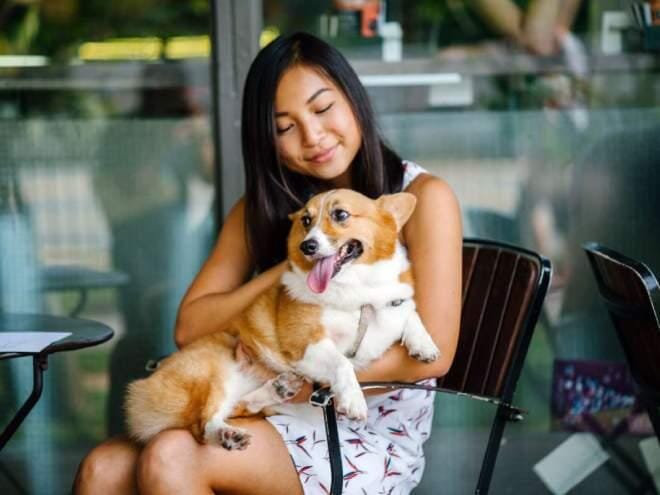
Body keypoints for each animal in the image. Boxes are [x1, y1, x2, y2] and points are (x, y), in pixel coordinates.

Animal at [126, 189, 440, 450]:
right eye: (306, 220)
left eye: (340, 215)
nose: (307, 246)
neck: (358, 292)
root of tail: (145, 386)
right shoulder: (307, 343)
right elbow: (342, 362)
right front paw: (353, 400)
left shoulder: (392, 304)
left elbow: (410, 313)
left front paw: (424, 345)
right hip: (211, 371)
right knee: (202, 426)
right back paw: (227, 434)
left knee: (238, 406)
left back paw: (275, 390)